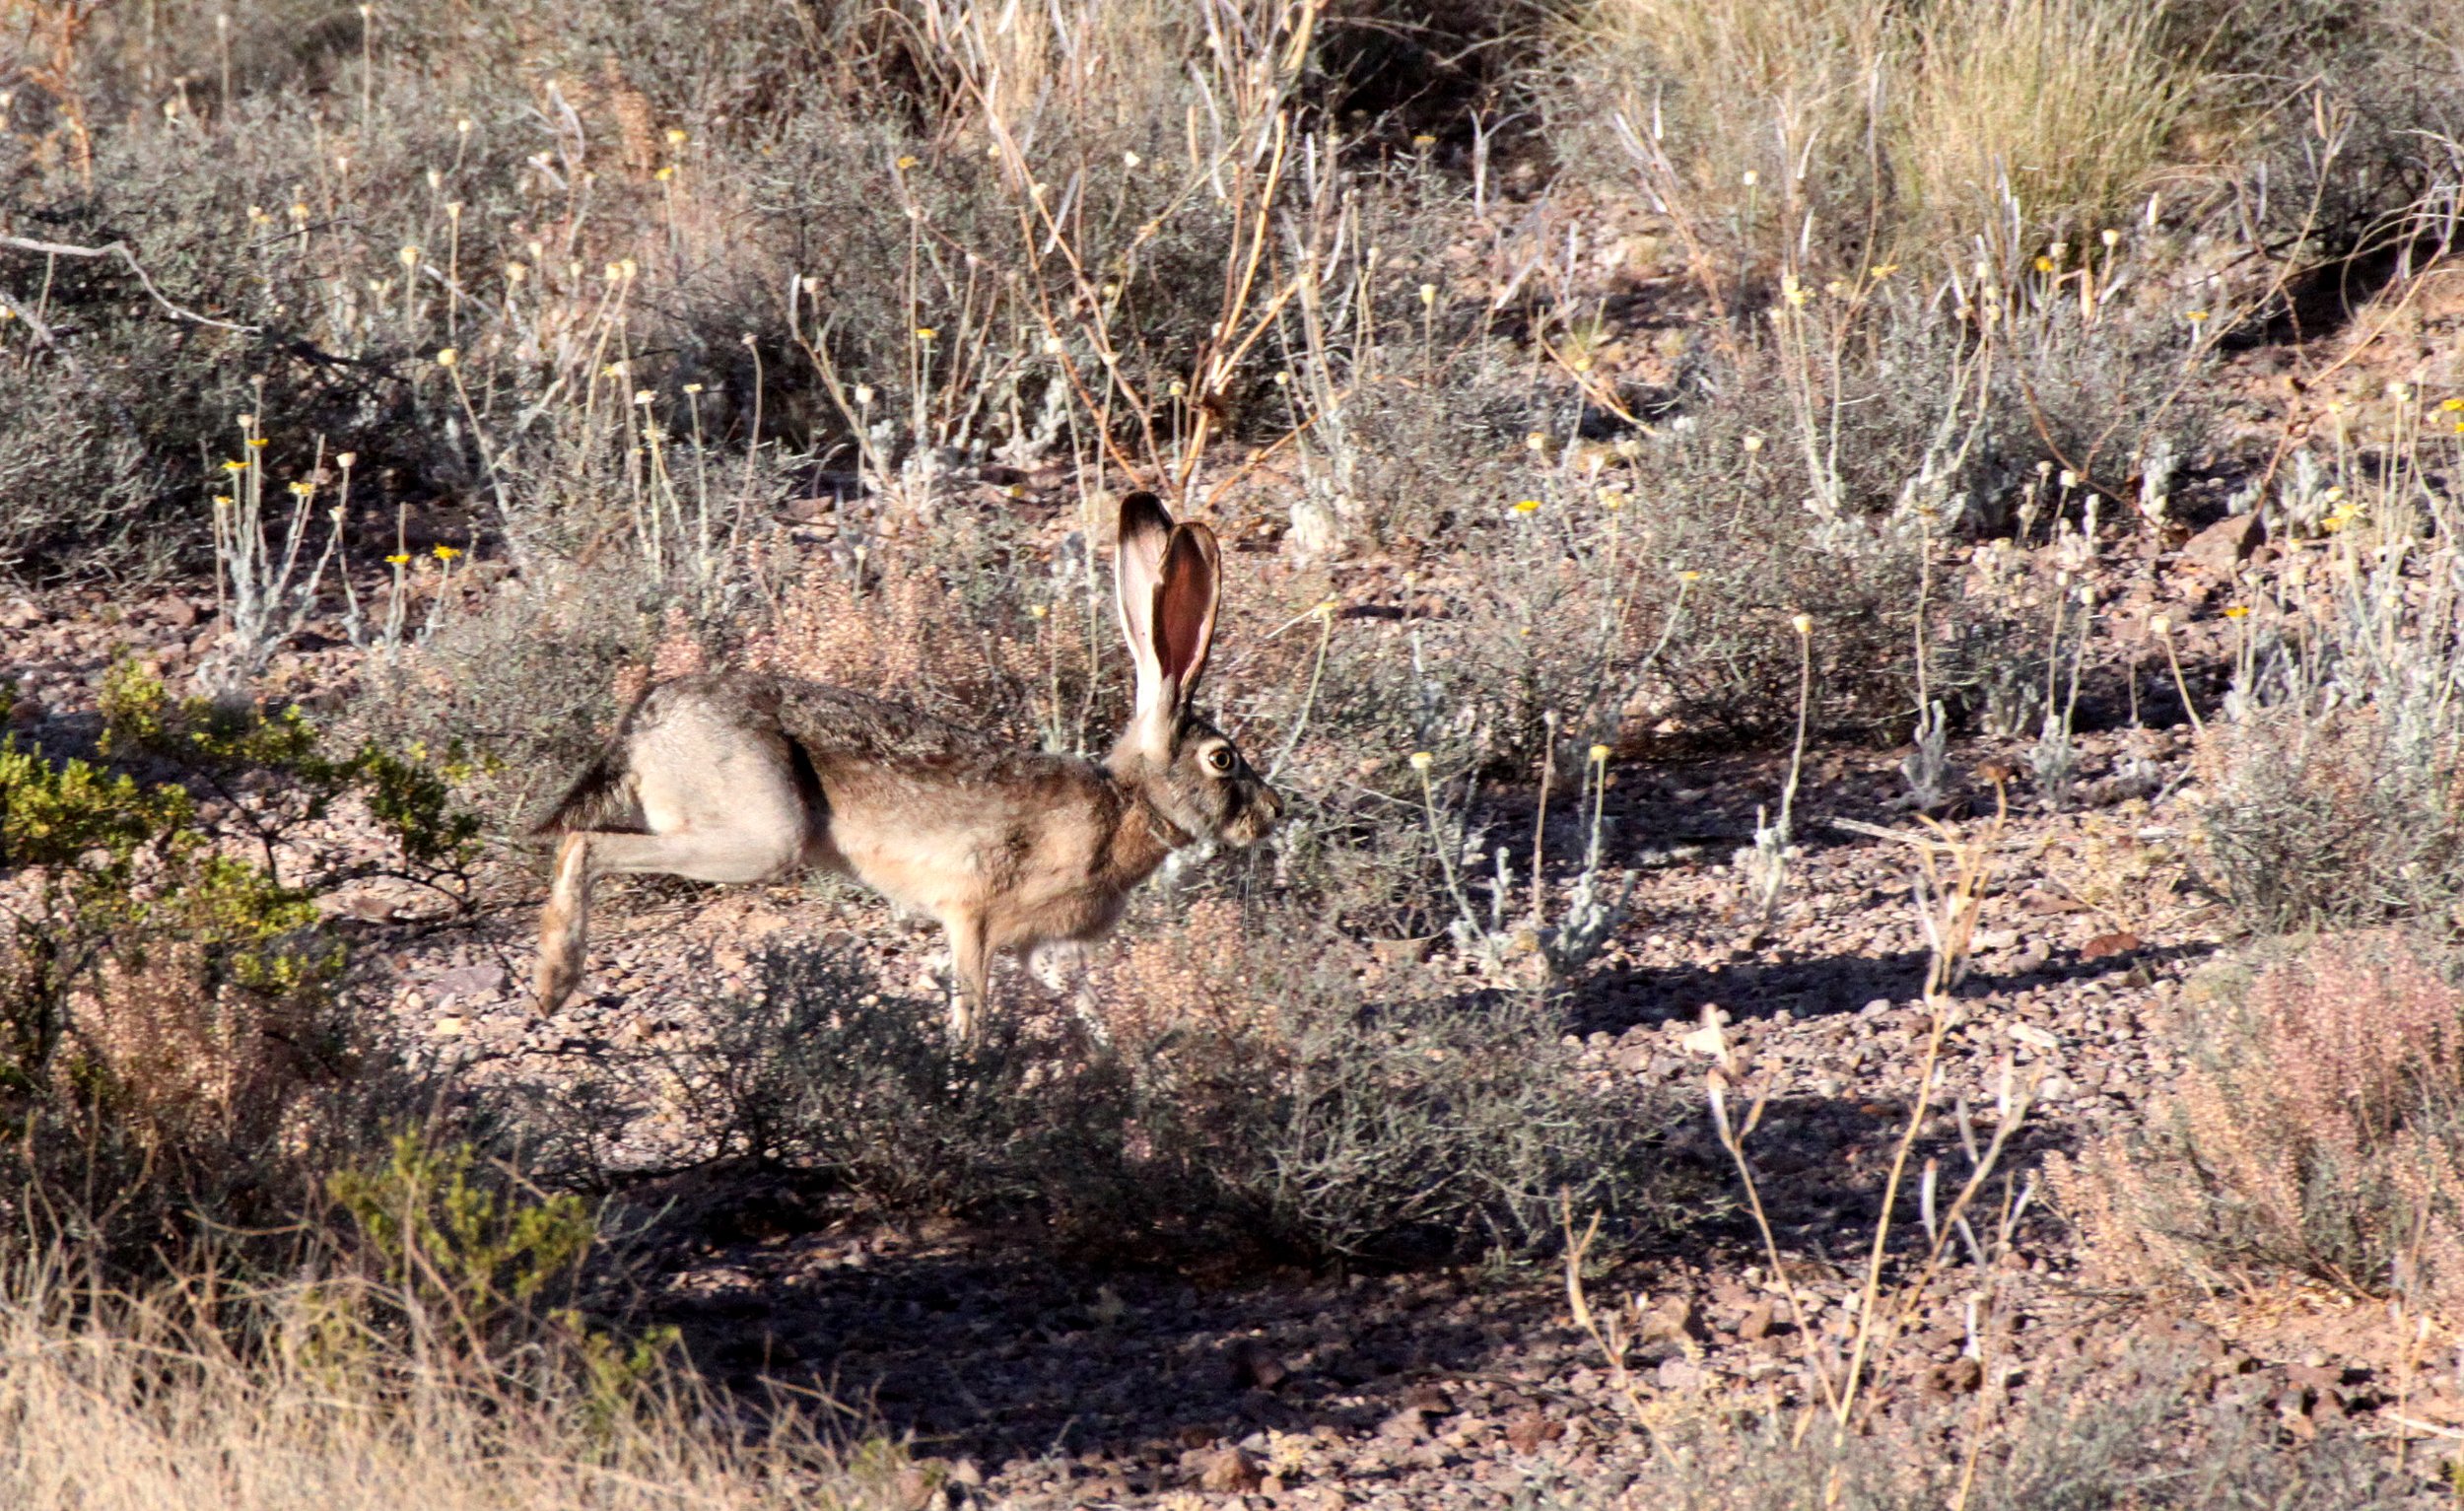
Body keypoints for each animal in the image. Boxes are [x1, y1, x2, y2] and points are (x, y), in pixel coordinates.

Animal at [530, 492, 1283, 1039]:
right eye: (1222, 759)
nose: (1275, 812)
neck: (1131, 801)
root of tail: (646, 723)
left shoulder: (1048, 950)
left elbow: (1086, 1008)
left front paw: (1127, 1066)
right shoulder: (973, 915)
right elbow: (972, 1005)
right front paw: (967, 1072)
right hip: (761, 835)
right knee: (583, 843)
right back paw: (552, 983)